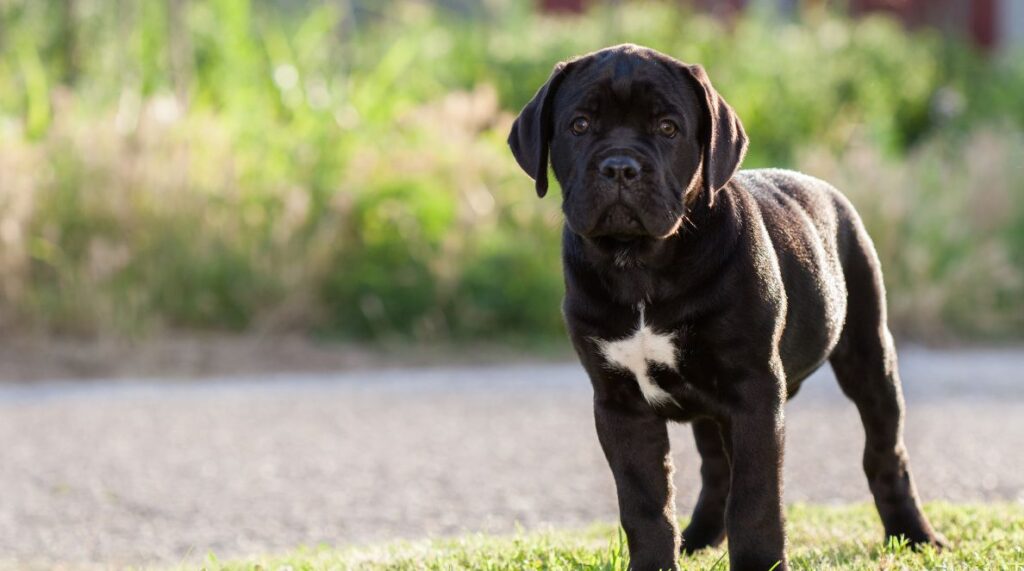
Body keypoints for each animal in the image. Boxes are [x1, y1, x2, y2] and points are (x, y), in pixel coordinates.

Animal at [507, 45, 946, 571]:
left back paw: (914, 535)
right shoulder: (619, 402)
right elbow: (645, 503)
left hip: (869, 355)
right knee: (717, 473)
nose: (620, 167)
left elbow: (756, 498)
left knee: (884, 453)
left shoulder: (752, 390)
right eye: (580, 124)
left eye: (668, 128)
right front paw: (656, 561)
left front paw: (759, 562)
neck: (640, 263)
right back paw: (698, 538)